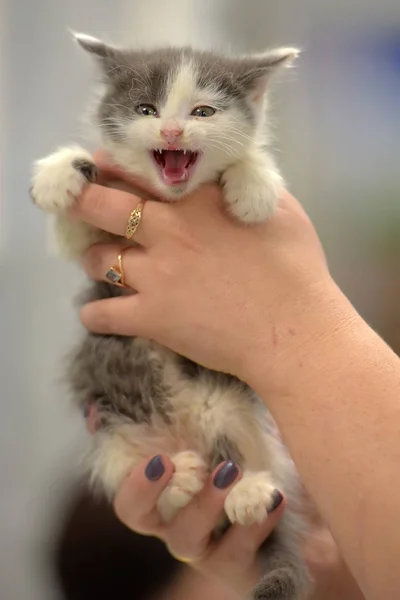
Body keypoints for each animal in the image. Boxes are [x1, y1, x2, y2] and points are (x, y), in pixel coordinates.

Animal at [32, 34, 312, 600]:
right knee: (127, 461)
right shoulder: (93, 249)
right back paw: (176, 482)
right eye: (147, 110)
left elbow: (247, 164)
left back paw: (249, 490)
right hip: (106, 401)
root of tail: (183, 438)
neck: (168, 198)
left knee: (243, 454)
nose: (171, 132)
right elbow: (71, 230)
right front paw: (62, 171)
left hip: (228, 401)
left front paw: (253, 184)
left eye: (203, 111)